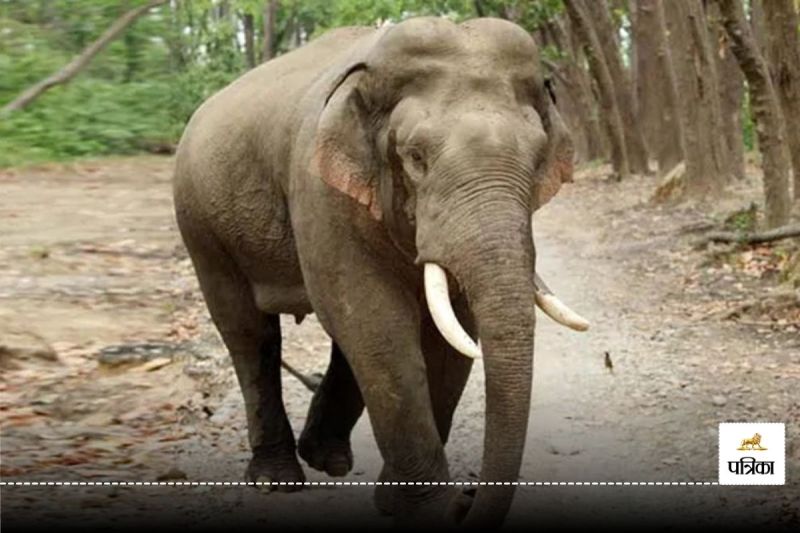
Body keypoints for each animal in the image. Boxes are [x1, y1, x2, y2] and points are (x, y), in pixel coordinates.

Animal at [173, 16, 588, 527]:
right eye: (415, 157)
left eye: (536, 160)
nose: (469, 496)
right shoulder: (319, 191)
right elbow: (380, 327)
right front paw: (424, 510)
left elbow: (447, 337)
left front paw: (401, 503)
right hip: (201, 226)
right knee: (251, 335)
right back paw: (276, 480)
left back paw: (328, 460)